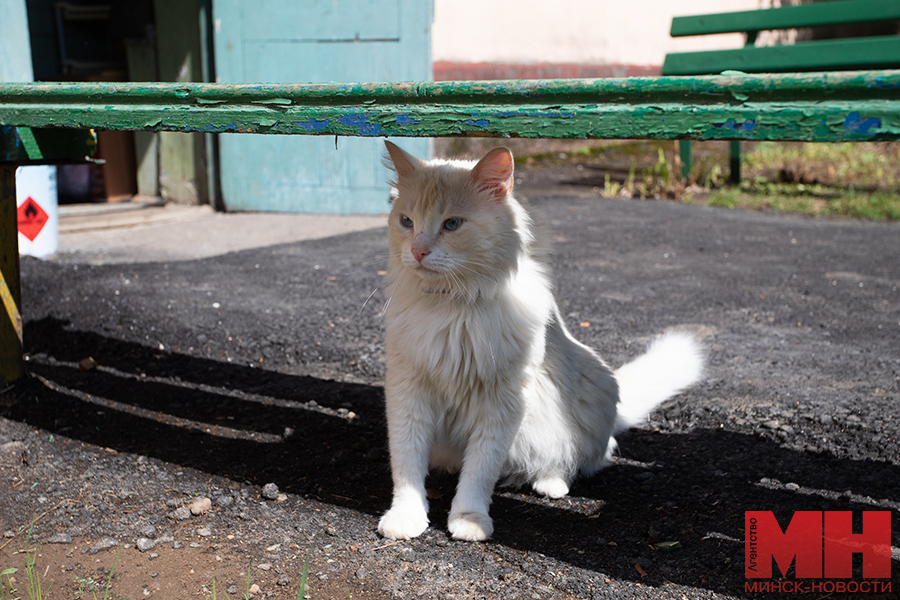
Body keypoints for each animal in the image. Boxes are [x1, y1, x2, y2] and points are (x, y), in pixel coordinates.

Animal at [376, 142, 708, 544]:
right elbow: (407, 465)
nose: (418, 252)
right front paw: (406, 517)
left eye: (452, 224)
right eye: (407, 222)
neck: (451, 304)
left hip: (593, 389)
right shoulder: (407, 389)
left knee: (590, 455)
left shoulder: (504, 399)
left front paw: (469, 520)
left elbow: (479, 471)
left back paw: (551, 482)